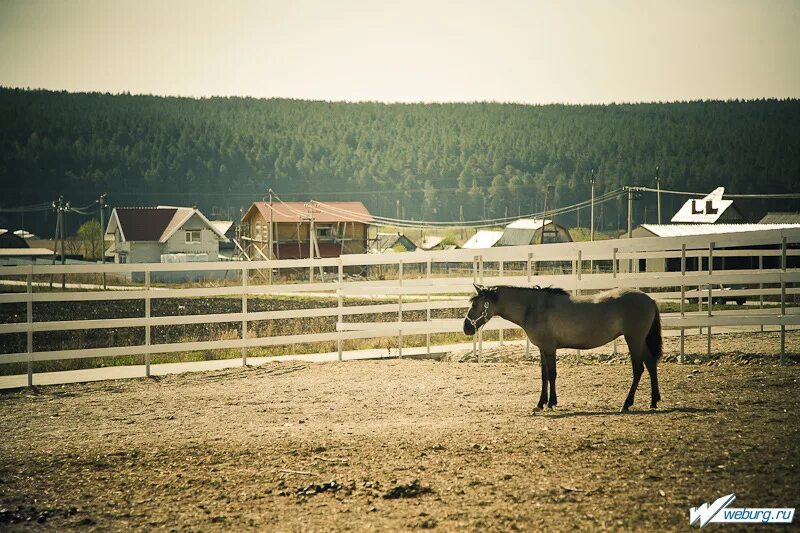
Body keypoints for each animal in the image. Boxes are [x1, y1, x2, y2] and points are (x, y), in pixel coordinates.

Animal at [462, 282, 664, 412]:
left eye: (476, 304)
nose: (466, 328)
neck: (533, 307)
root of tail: (649, 299)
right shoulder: (543, 349)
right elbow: (543, 375)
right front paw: (540, 403)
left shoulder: (550, 348)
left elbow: (552, 374)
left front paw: (551, 402)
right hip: (640, 340)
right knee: (651, 364)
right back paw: (654, 401)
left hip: (634, 339)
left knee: (638, 368)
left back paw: (627, 403)